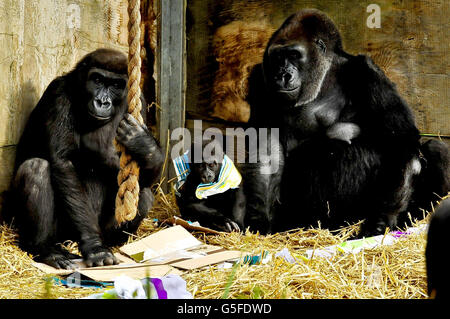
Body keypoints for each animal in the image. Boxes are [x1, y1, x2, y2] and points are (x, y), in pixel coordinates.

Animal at [4, 48, 164, 268]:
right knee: (35, 169)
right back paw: (44, 248)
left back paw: (114, 243)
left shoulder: (139, 100)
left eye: (116, 85)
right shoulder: (58, 94)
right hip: (60, 233)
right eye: (97, 79)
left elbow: (145, 177)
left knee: (144, 191)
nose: (103, 102)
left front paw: (144, 144)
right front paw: (94, 246)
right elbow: (63, 163)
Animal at [246, 10, 450, 236]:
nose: (282, 75)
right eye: (278, 57)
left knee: (435, 147)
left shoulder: (367, 71)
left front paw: (382, 220)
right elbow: (266, 146)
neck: (325, 73)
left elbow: (400, 139)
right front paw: (259, 221)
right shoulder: (260, 79)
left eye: (293, 55)